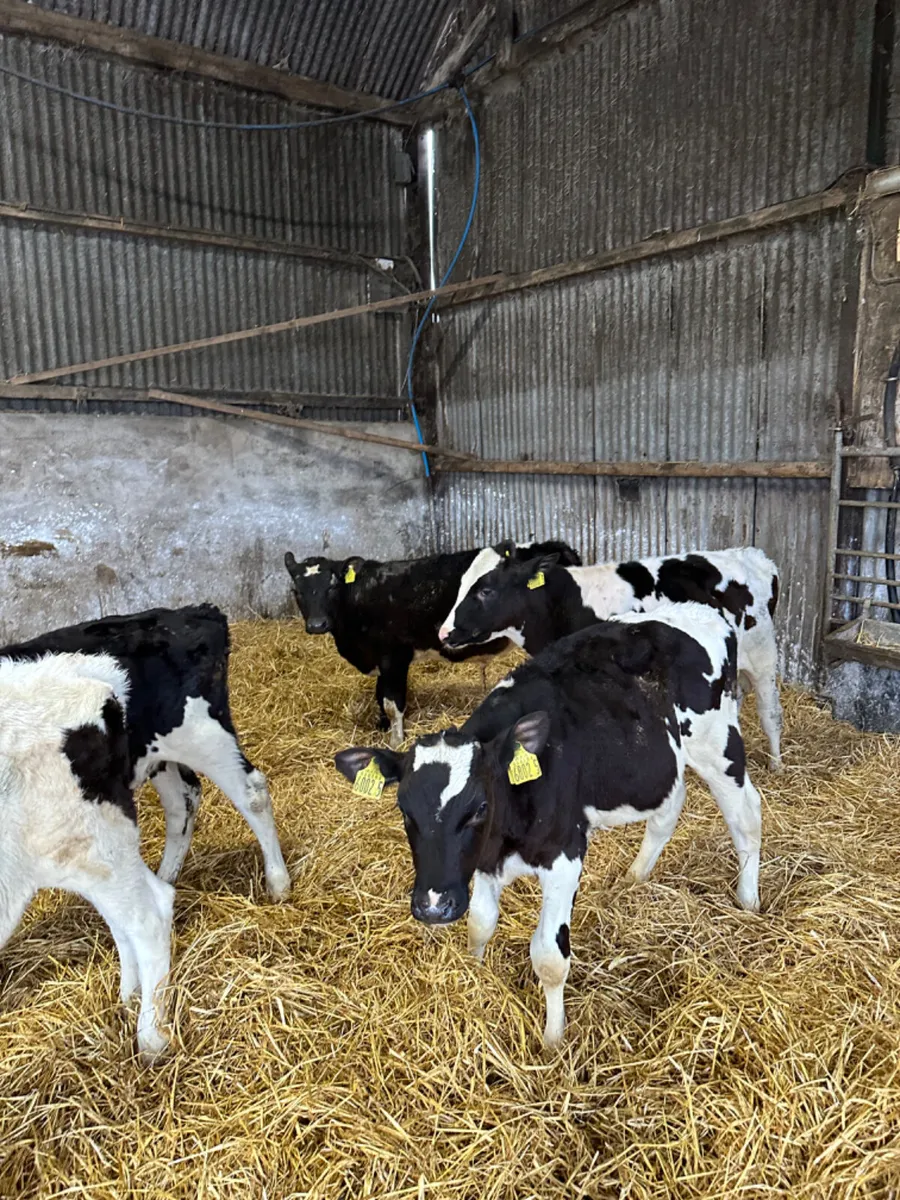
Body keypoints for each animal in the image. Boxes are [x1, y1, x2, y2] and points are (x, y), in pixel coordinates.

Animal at [0, 605, 290, 901]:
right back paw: (166, 880)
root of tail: (193, 612)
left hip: (200, 734)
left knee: (251, 793)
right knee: (182, 801)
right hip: (154, 752)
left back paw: (278, 883)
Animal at [284, 541, 581, 748]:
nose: (317, 624)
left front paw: (396, 740)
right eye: (297, 591)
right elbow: (380, 696)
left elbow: (392, 702)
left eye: (331, 587)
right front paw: (382, 726)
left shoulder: (394, 656)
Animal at [334, 601, 762, 1049]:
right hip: (662, 762)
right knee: (670, 806)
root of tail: (699, 611)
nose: (433, 906)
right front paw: (477, 976)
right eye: (404, 811)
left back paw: (748, 899)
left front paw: (553, 1039)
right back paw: (634, 877)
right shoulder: (484, 860)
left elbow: (549, 957)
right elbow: (479, 924)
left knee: (747, 815)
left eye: (478, 807)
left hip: (718, 746)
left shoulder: (563, 857)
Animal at [440, 544, 783, 772]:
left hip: (763, 654)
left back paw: (776, 765)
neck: (563, 601)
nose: (444, 632)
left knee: (770, 713)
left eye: (485, 590)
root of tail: (754, 556)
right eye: (461, 584)